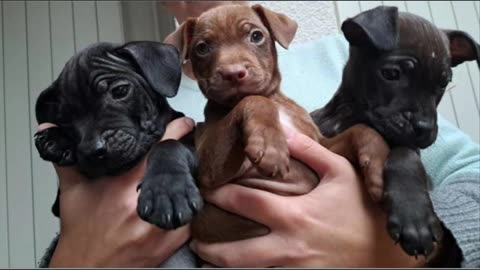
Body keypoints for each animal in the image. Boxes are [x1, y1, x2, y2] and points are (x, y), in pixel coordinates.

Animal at [34, 41, 202, 266]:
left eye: (120, 91)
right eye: (64, 119)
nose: (93, 150)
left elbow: (169, 144)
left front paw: (166, 191)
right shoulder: (58, 207)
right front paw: (56, 138)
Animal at [165, 4, 390, 244]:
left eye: (256, 36)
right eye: (202, 48)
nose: (233, 73)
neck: (275, 101)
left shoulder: (321, 145)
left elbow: (360, 130)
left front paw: (378, 167)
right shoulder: (209, 167)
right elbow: (253, 99)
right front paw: (270, 144)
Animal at [310, 5, 478, 264]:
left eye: (443, 83)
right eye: (391, 74)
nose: (424, 127)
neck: (349, 112)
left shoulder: (412, 154)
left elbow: (405, 154)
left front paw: (414, 218)